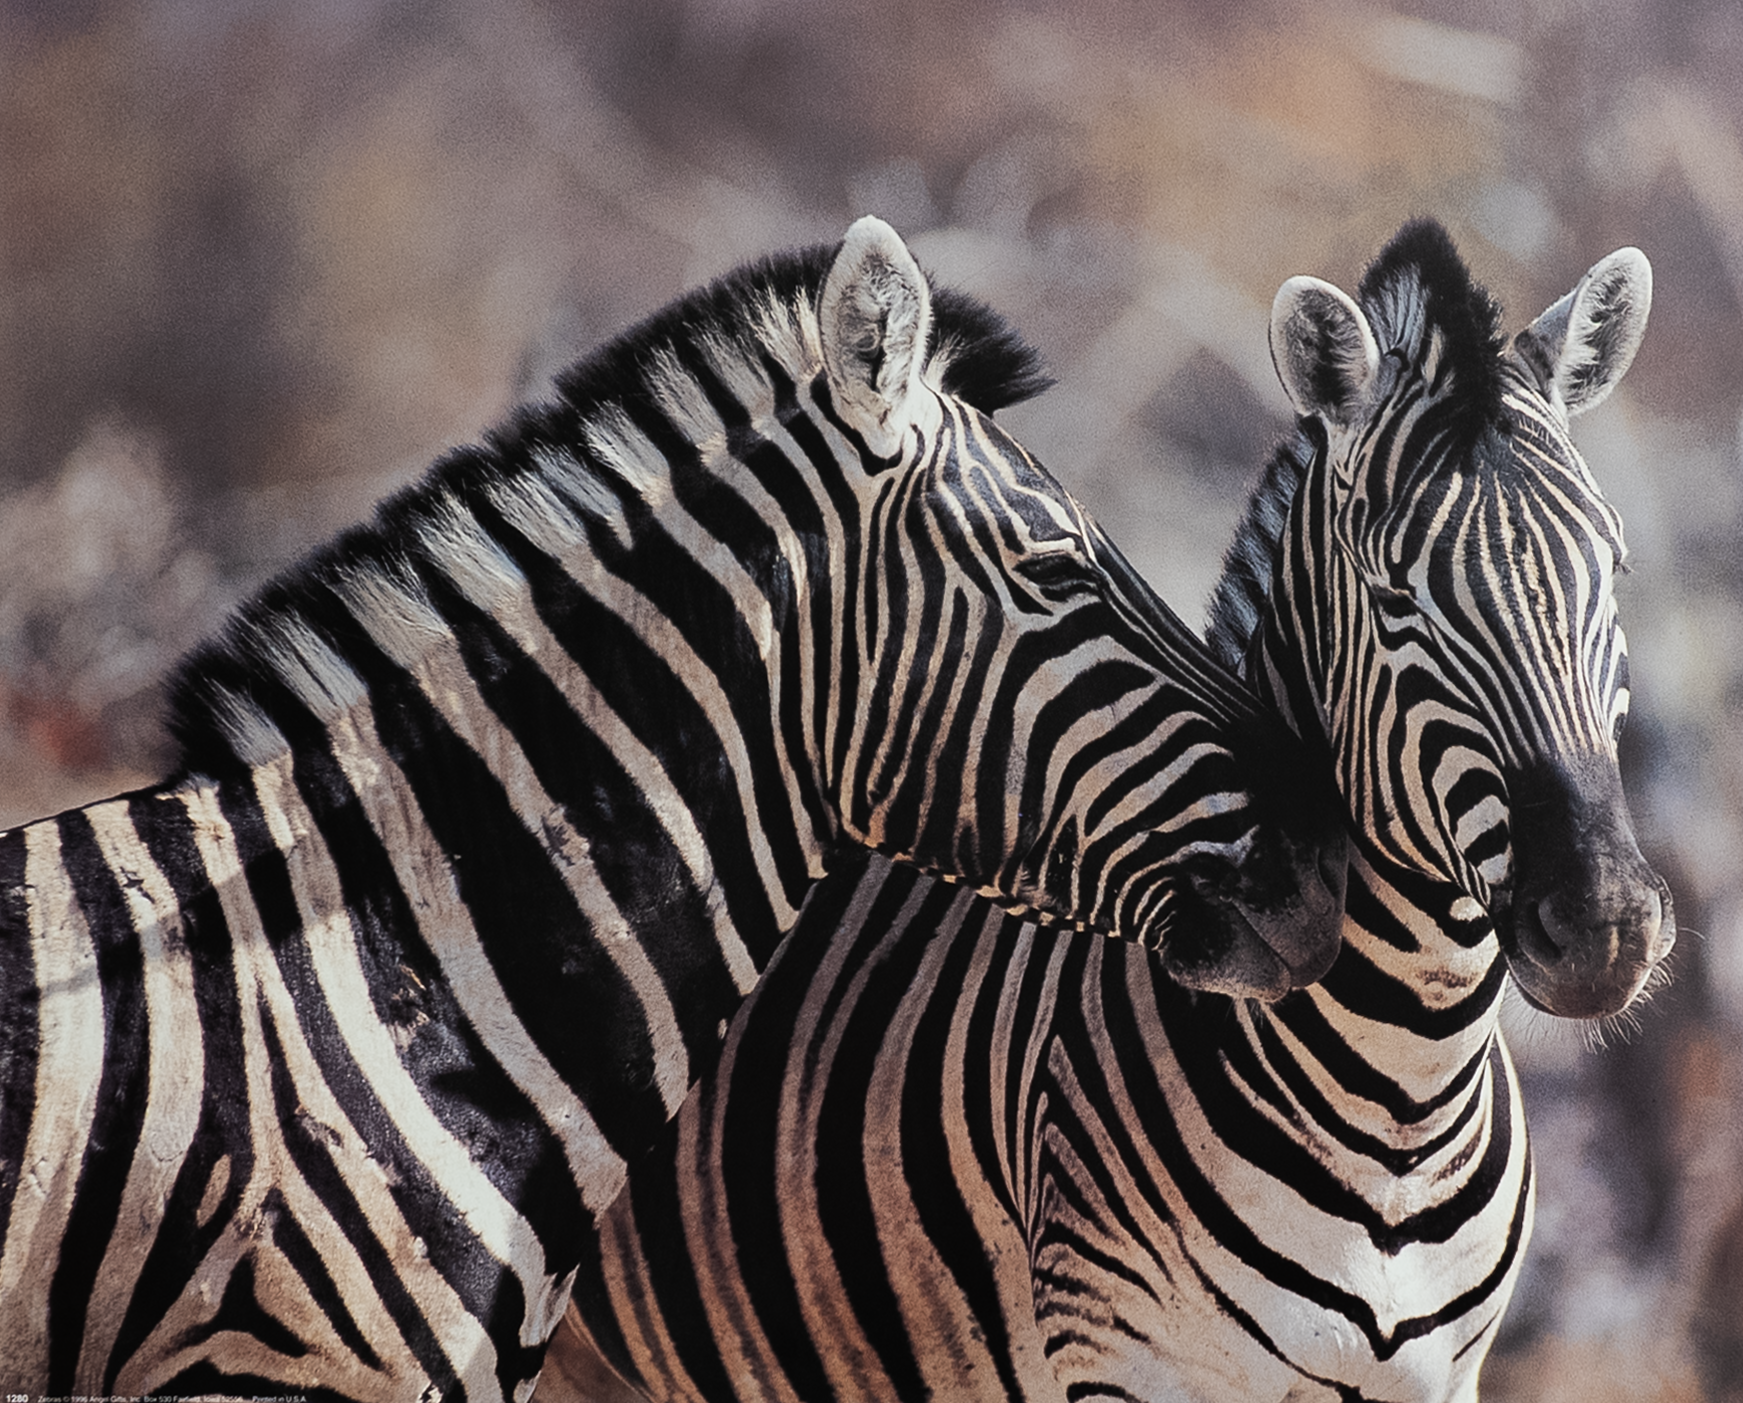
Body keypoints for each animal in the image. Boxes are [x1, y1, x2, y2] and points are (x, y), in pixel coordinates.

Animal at [540, 221, 1675, 1402]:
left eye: (1614, 569)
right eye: (1394, 596)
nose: (1602, 926)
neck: (1403, 1101)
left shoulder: (1439, 1380)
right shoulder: (1127, 1363)